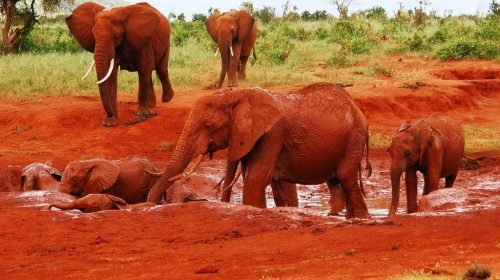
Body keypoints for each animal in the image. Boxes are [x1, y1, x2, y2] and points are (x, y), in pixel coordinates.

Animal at [147, 83, 372, 219]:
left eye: (209, 126)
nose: (150, 205)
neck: (236, 94)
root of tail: (357, 108)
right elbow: (267, 179)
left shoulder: (272, 133)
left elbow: (256, 177)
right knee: (335, 180)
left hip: (354, 137)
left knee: (346, 177)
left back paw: (361, 218)